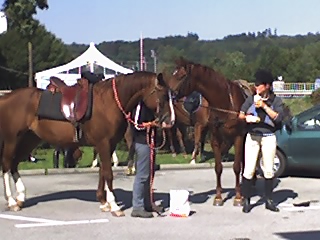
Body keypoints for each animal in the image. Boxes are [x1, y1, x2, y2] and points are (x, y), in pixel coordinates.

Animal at [0, 71, 175, 216]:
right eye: (163, 95)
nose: (170, 121)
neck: (109, 102)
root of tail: (6, 98)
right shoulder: (104, 144)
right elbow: (108, 174)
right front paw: (114, 206)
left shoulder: (108, 145)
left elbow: (102, 172)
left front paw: (104, 203)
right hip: (12, 139)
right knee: (6, 165)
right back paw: (11, 201)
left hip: (30, 140)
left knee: (14, 164)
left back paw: (20, 198)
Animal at [165, 57, 248, 206]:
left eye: (181, 76)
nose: (168, 95)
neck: (224, 104)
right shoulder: (214, 137)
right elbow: (218, 167)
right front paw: (218, 197)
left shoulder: (238, 137)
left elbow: (236, 166)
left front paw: (238, 197)